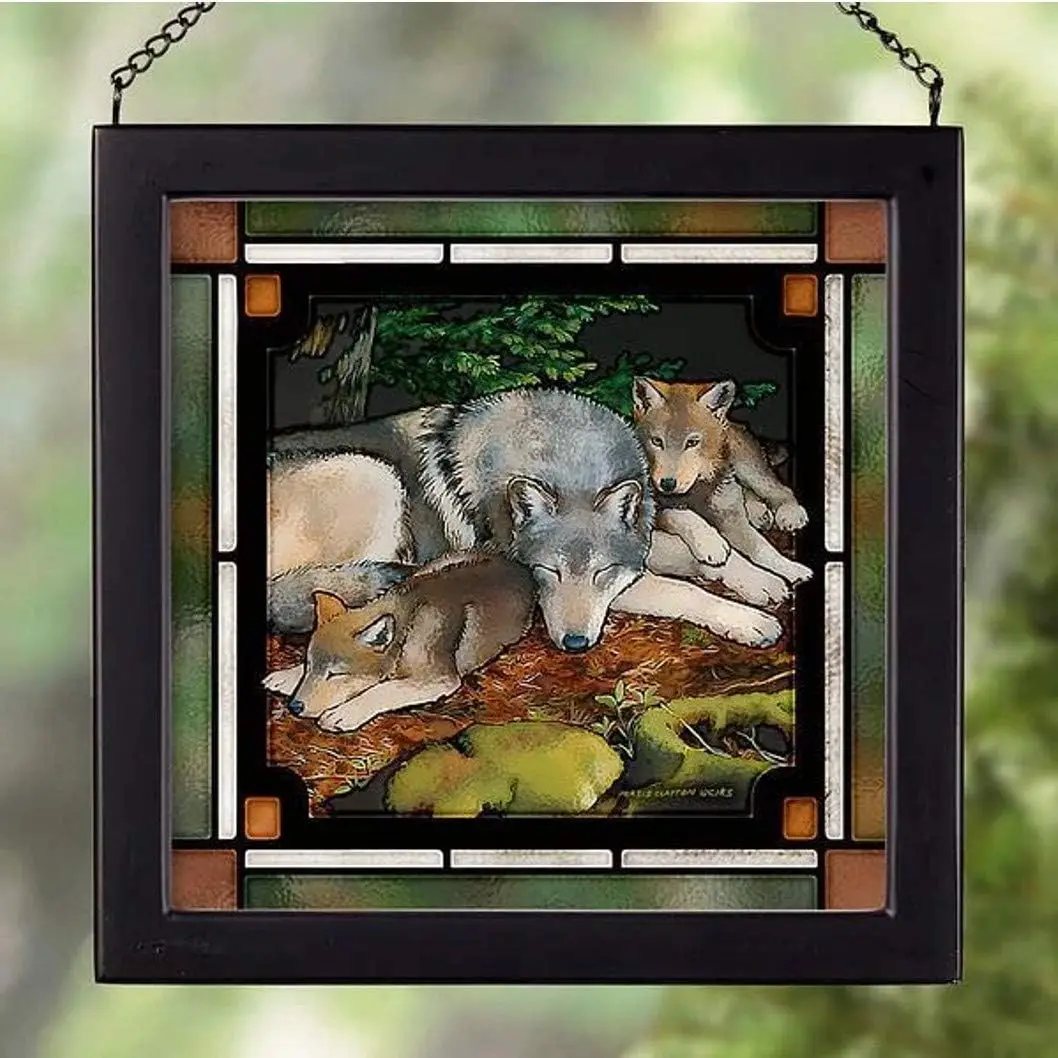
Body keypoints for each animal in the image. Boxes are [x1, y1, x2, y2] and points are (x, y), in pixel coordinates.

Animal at [264, 553, 537, 733]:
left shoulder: (441, 680)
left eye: (336, 674)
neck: (408, 626)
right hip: (431, 568)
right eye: (309, 666)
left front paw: (344, 713)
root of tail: (520, 565)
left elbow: (384, 688)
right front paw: (287, 676)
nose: (295, 707)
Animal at [271, 388, 782, 650]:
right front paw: (750, 621)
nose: (574, 643)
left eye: (601, 572)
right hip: (372, 473)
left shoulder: (635, 549)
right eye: (546, 572)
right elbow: (683, 589)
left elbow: (707, 558)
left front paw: (763, 581)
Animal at [632, 377, 813, 592]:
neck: (697, 490)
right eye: (657, 441)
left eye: (692, 442)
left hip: (747, 468)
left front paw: (792, 569)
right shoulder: (654, 509)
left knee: (780, 489)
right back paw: (758, 512)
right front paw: (710, 543)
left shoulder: (729, 517)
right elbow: (682, 514)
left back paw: (789, 514)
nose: (667, 484)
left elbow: (762, 548)